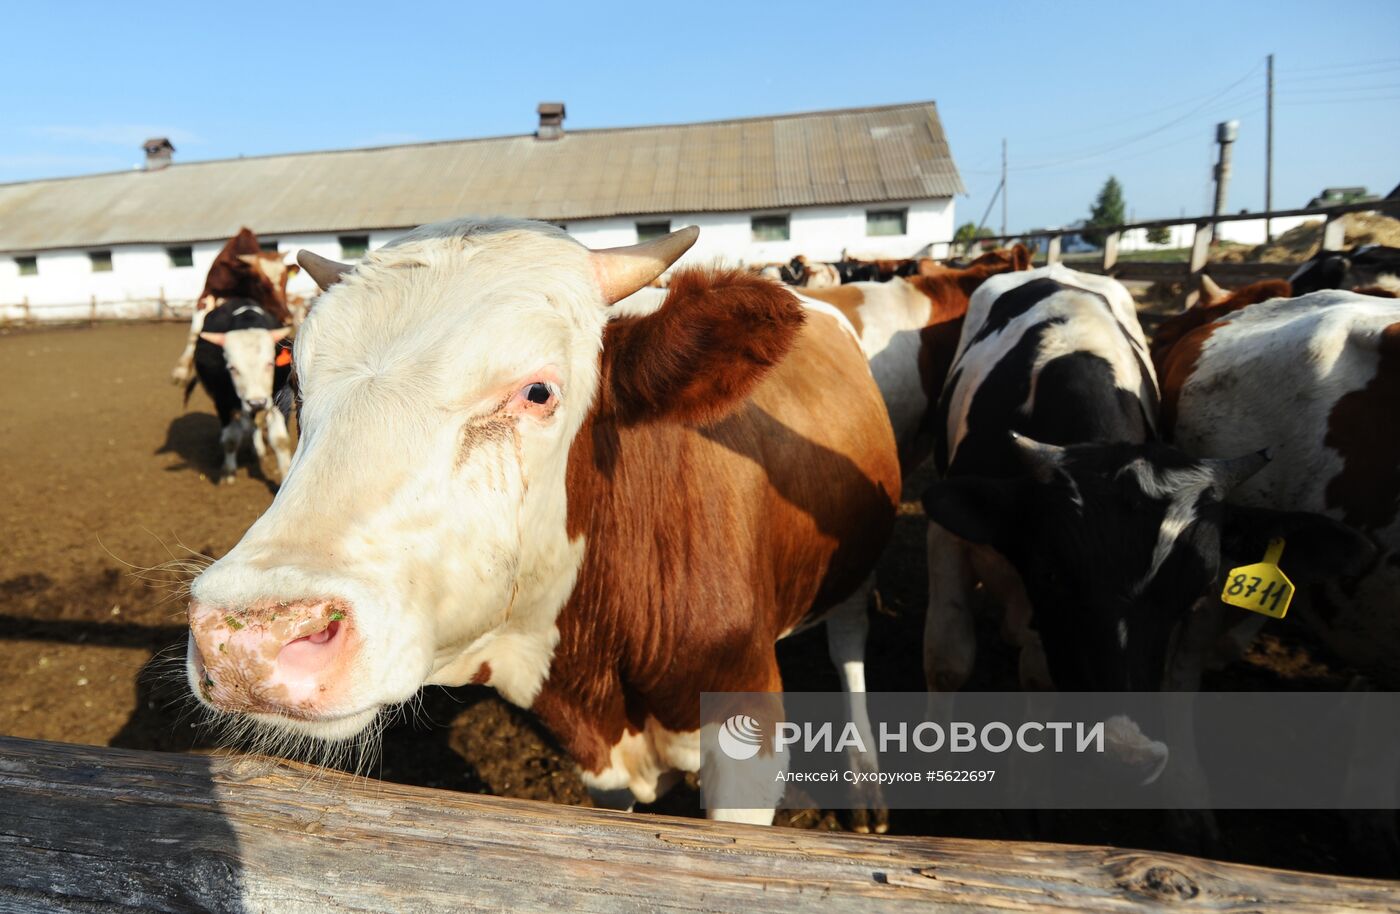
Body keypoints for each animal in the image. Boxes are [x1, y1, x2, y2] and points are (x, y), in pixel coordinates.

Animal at [186, 299, 295, 484]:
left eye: (270, 363)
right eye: (232, 368)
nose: (257, 402)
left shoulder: (278, 399)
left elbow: (280, 440)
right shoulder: (222, 402)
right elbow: (230, 438)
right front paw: (228, 473)